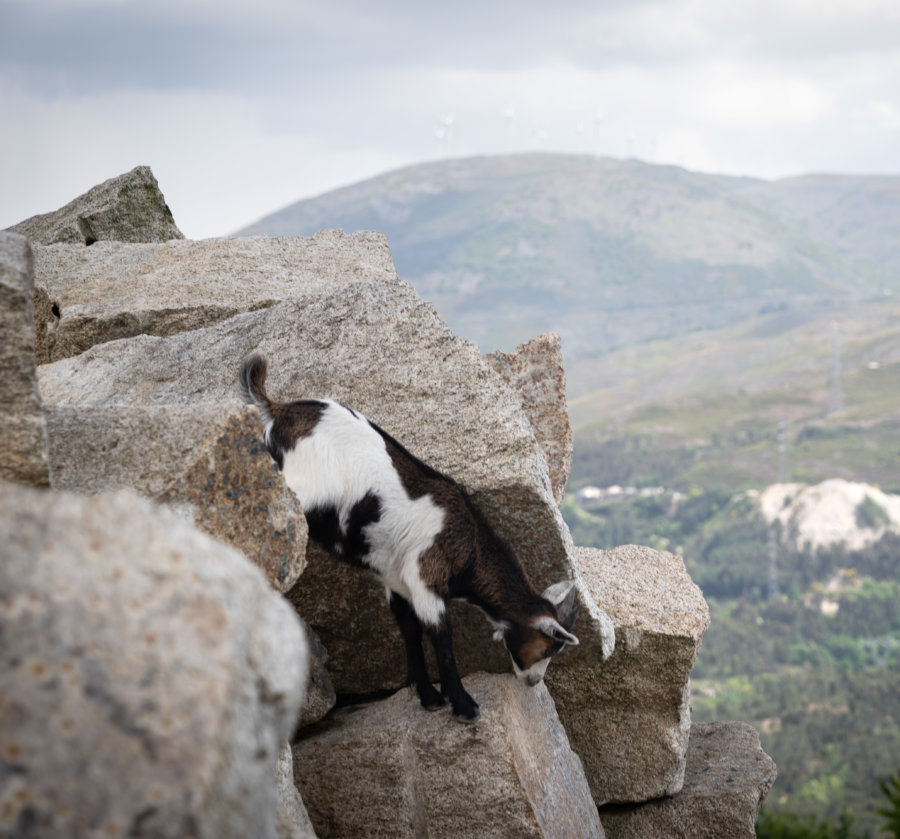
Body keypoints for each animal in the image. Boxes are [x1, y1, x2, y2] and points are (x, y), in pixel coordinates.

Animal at [237, 354, 576, 720]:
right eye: (551, 646)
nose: (532, 681)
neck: (469, 548)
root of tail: (278, 410)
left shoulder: (396, 580)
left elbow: (410, 632)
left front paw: (427, 696)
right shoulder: (425, 575)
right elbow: (440, 636)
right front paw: (463, 705)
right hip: (301, 486)